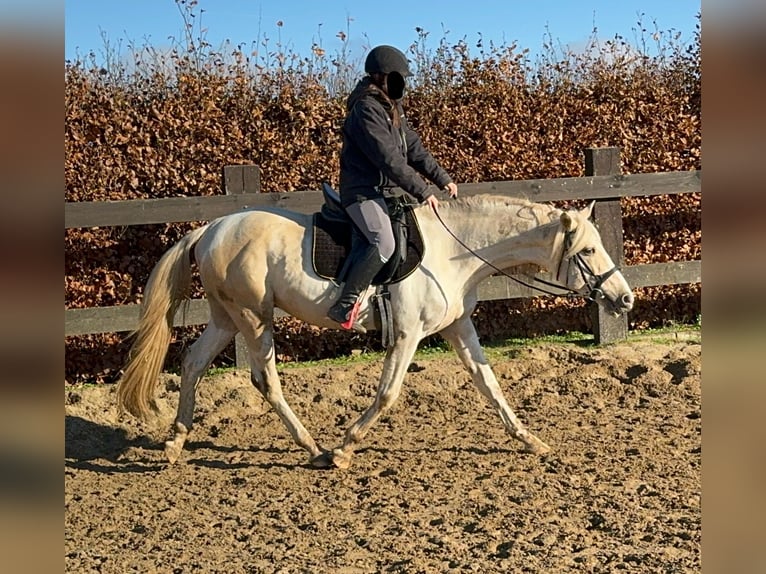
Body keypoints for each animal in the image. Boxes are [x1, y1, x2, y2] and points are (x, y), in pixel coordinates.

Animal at [117, 196, 636, 470]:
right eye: (589, 251)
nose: (626, 299)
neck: (453, 251)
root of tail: (210, 229)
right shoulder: (406, 336)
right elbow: (388, 394)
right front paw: (346, 447)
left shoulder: (458, 327)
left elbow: (490, 385)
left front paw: (530, 439)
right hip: (253, 317)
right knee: (265, 380)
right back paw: (315, 449)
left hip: (227, 318)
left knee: (192, 364)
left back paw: (176, 441)